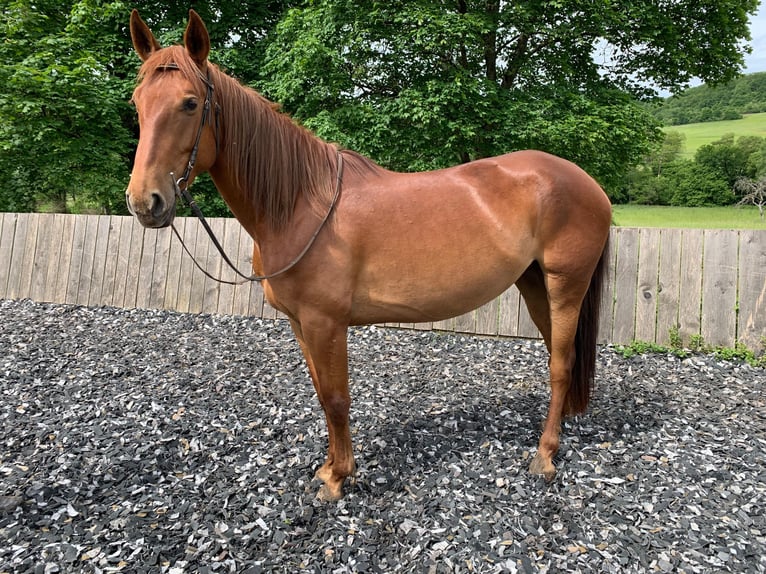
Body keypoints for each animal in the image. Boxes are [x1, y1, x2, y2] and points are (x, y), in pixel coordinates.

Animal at [129, 10, 616, 504]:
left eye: (190, 104)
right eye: (137, 104)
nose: (145, 202)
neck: (300, 203)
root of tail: (587, 183)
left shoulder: (326, 323)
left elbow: (336, 398)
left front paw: (339, 478)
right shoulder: (300, 323)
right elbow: (321, 393)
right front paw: (329, 468)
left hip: (565, 285)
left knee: (560, 365)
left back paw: (545, 456)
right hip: (534, 283)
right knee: (559, 358)